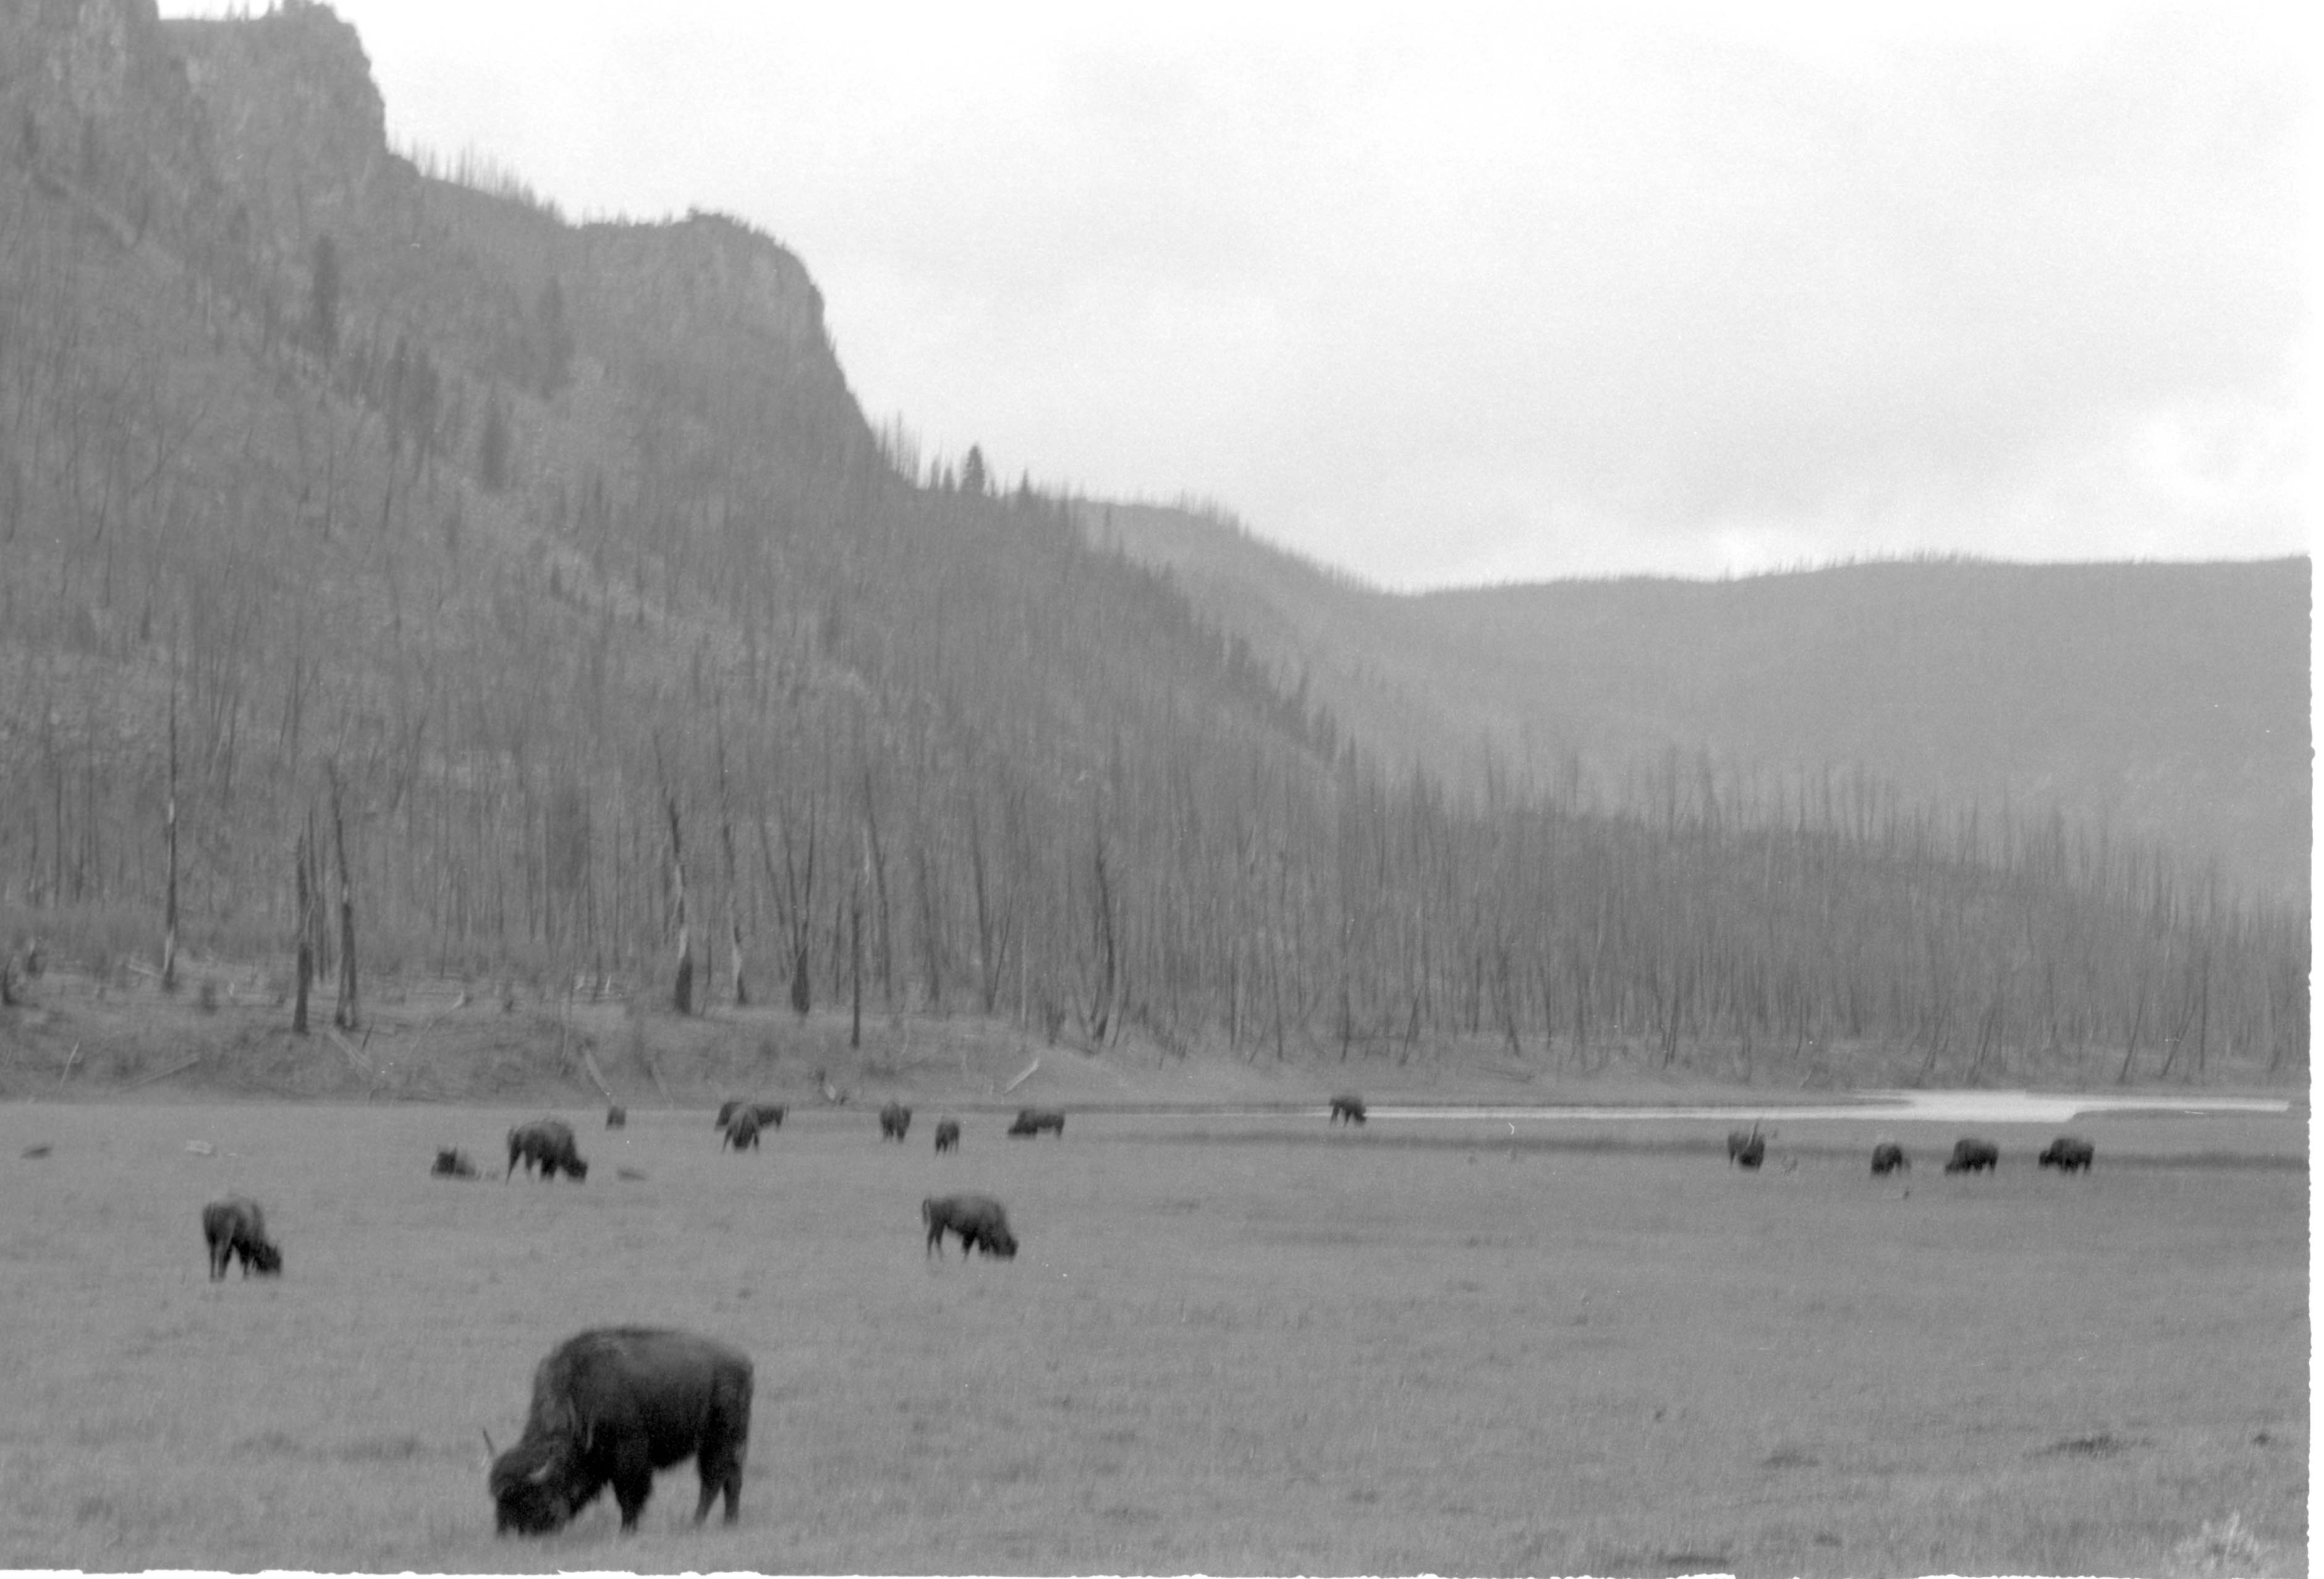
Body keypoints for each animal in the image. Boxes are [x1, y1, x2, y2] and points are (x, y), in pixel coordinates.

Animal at [201, 1196, 282, 1280]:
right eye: (276, 1259)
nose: (278, 1274)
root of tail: (214, 1206)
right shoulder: (249, 1244)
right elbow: (246, 1259)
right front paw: (246, 1275)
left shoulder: (232, 1243)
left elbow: (228, 1258)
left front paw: (225, 1274)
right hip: (224, 1238)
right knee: (221, 1253)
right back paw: (219, 1276)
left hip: (211, 1239)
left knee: (213, 1255)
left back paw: (213, 1276)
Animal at [488, 1327, 752, 1536]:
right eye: (497, 1499)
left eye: (527, 1496)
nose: (507, 1534)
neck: (577, 1396)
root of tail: (743, 1361)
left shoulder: (629, 1456)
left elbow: (628, 1495)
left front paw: (626, 1531)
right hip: (724, 1444)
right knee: (730, 1479)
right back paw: (729, 1523)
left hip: (721, 1439)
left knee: (713, 1480)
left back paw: (697, 1524)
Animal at [507, 1120, 589, 1182]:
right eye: (580, 1170)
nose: (582, 1182)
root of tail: (521, 1131)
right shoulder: (555, 1160)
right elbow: (551, 1172)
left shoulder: (546, 1160)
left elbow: (543, 1172)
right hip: (531, 1153)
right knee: (528, 1167)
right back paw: (531, 1181)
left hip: (515, 1150)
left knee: (511, 1166)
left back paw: (507, 1183)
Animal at [922, 1193, 1018, 1259]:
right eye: (1008, 1244)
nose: (1011, 1257)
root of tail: (932, 1199)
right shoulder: (980, 1235)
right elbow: (980, 1247)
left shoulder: (971, 1235)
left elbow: (967, 1247)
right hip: (938, 1224)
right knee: (934, 1239)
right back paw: (939, 1256)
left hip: (938, 1225)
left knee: (934, 1238)